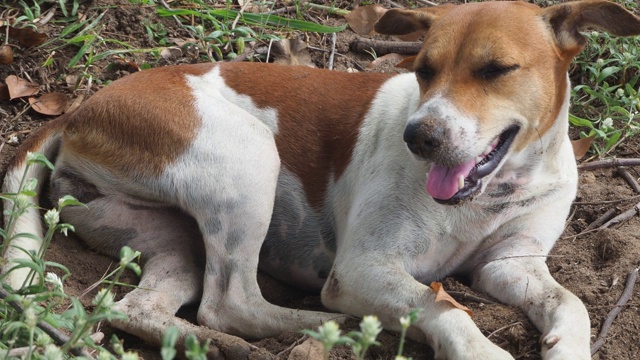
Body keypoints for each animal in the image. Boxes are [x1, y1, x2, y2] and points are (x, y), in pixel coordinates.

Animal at [3, 0, 640, 358]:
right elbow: (444, 307)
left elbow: (571, 302)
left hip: (166, 235)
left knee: (145, 309)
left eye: (496, 69)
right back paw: (333, 326)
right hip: (248, 158)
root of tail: (79, 109)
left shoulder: (512, 265)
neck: (497, 186)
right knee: (231, 301)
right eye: (424, 69)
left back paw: (214, 346)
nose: (418, 137)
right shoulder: (364, 267)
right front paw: (477, 350)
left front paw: (568, 346)